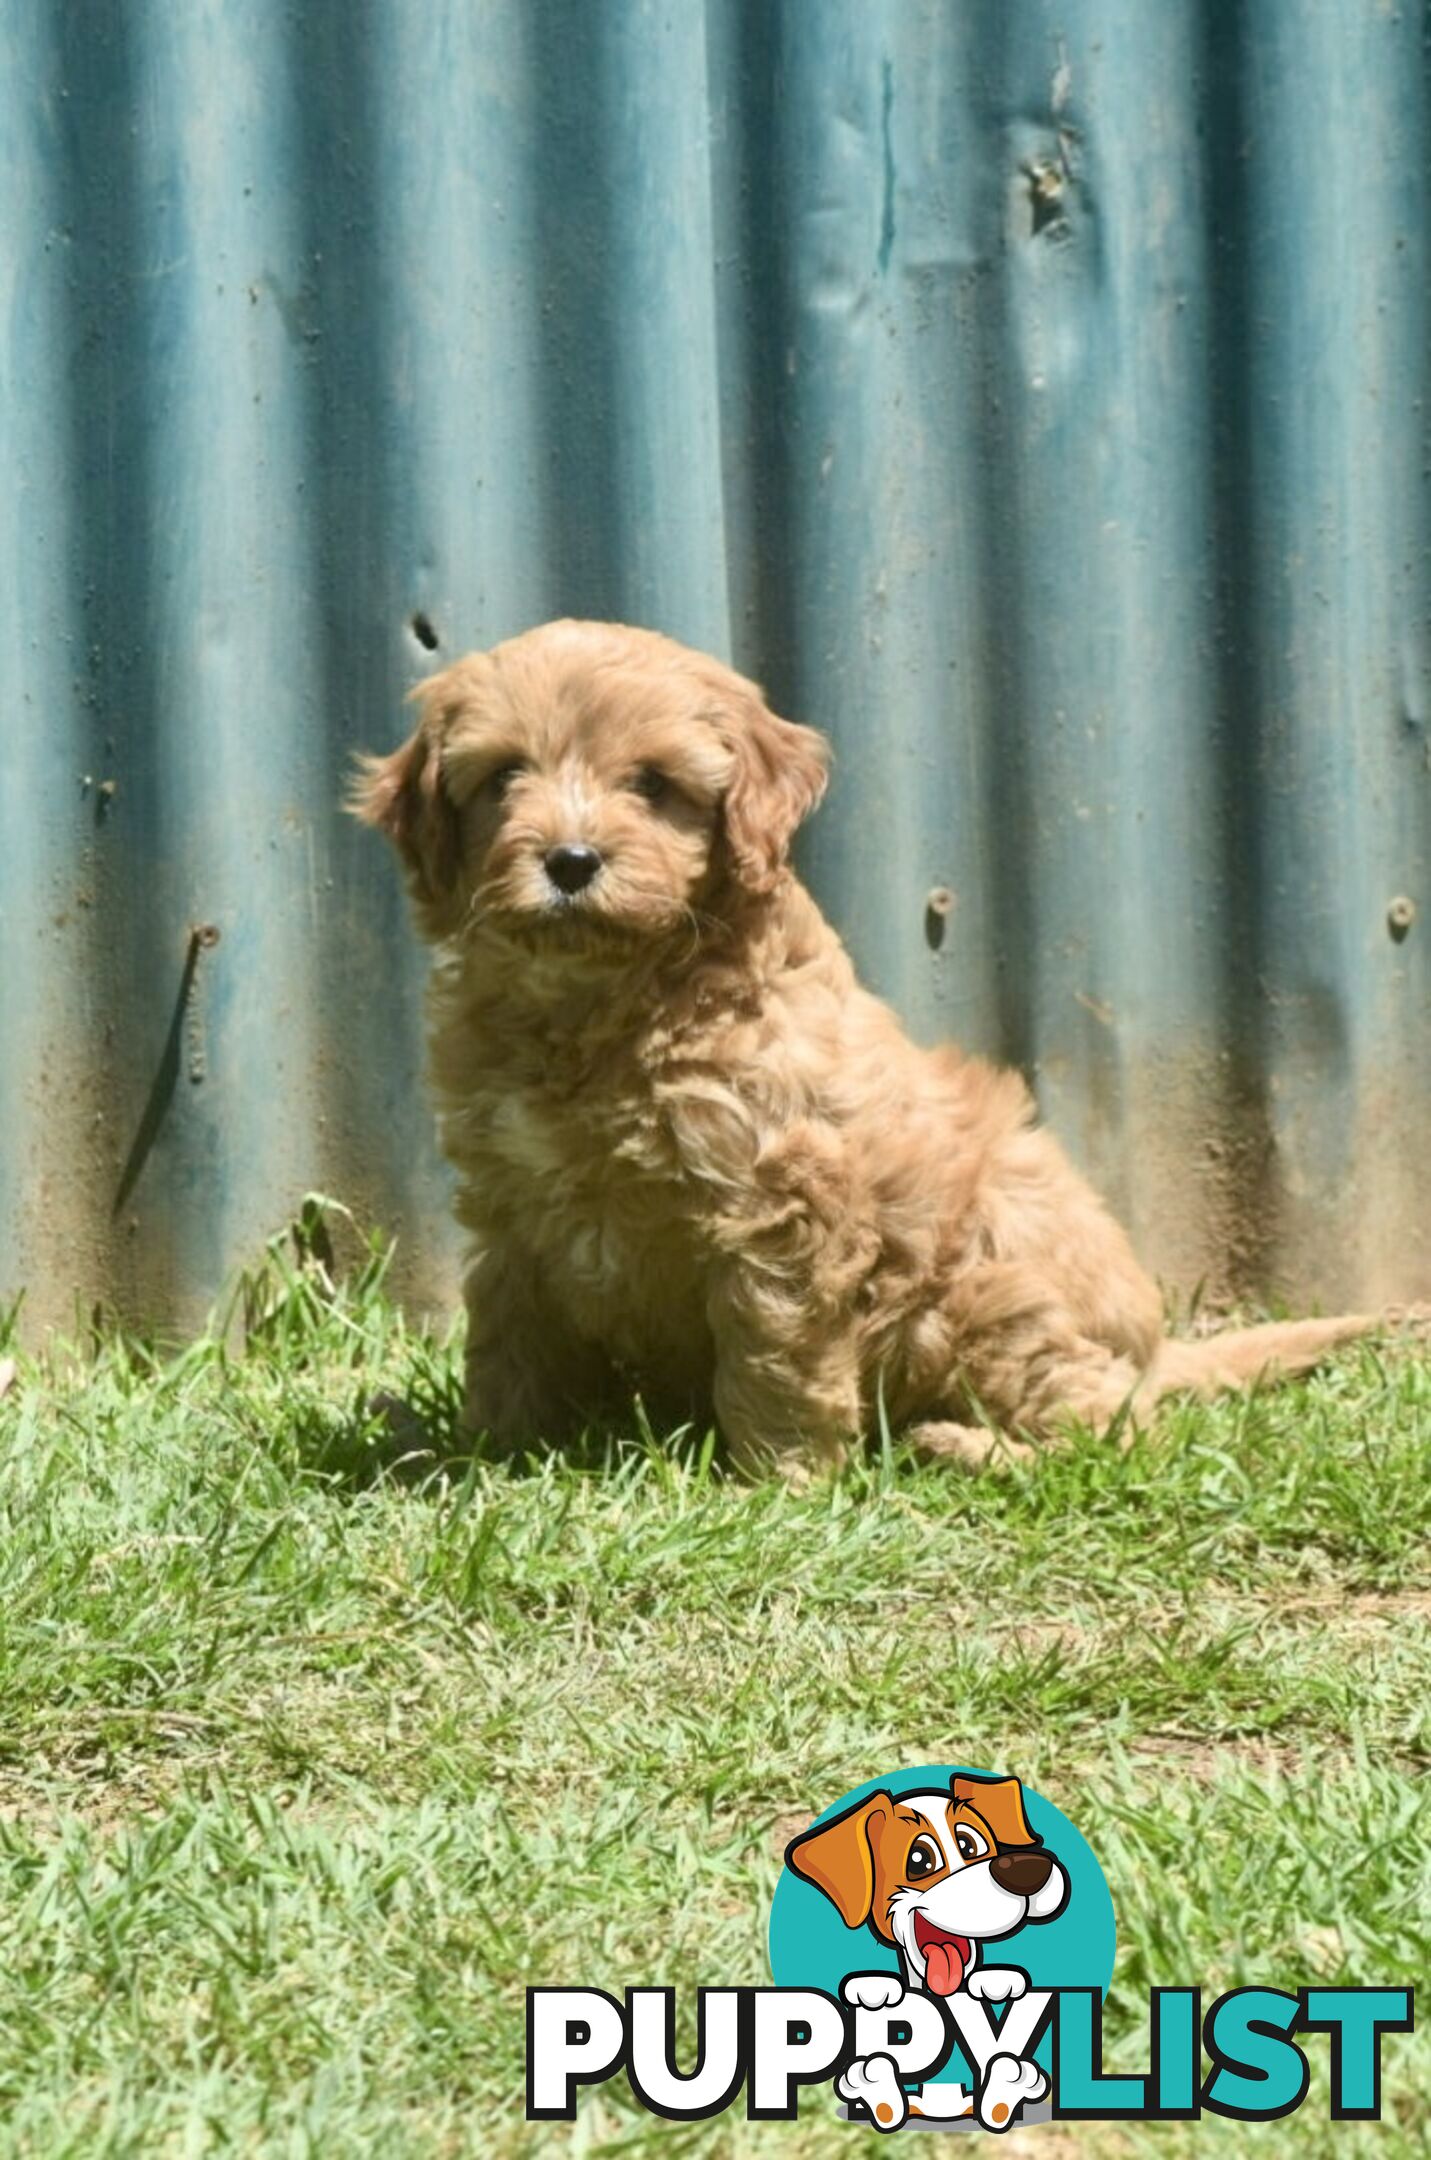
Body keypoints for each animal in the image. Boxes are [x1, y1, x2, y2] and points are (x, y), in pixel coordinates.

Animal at [356, 617, 1392, 1477]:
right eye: (502, 779)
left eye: (651, 785)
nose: (570, 862)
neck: (596, 1003)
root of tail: (1156, 1349)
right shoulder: (512, 1202)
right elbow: (506, 1331)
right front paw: (487, 1451)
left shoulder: (780, 1205)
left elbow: (774, 1352)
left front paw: (777, 1485)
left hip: (988, 1291)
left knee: (1116, 1430)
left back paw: (967, 1449)